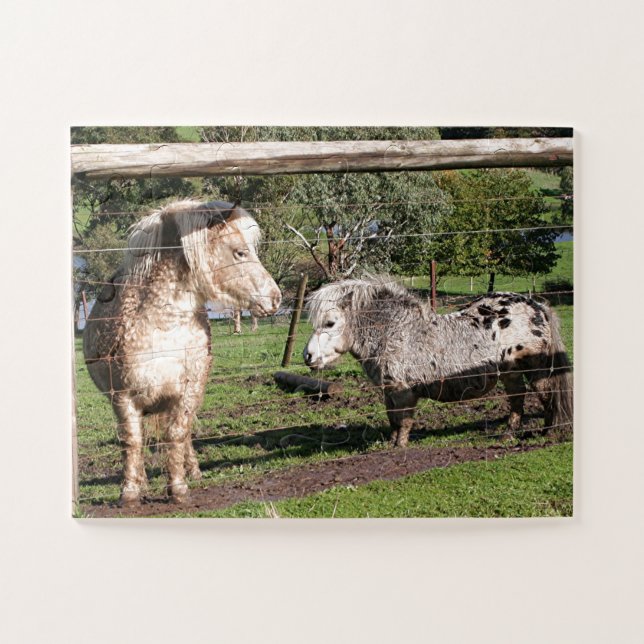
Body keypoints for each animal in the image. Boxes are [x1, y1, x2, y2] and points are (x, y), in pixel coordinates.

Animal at [83, 200, 281, 505]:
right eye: (240, 252)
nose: (275, 298)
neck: (164, 327)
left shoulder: (187, 390)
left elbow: (177, 434)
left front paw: (178, 488)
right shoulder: (123, 397)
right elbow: (131, 440)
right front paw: (130, 491)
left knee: (184, 434)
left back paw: (193, 471)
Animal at [303, 276, 572, 447]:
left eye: (330, 323)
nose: (308, 357)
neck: (395, 331)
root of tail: (538, 307)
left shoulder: (404, 391)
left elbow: (404, 421)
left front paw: (400, 446)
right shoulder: (389, 391)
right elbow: (392, 419)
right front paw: (389, 443)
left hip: (535, 370)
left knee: (547, 398)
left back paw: (548, 433)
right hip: (510, 373)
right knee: (518, 400)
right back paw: (509, 435)